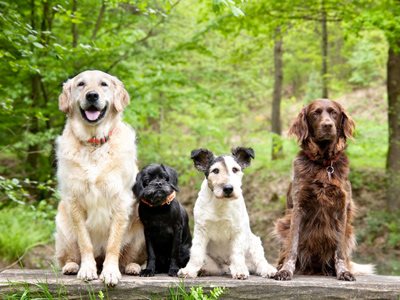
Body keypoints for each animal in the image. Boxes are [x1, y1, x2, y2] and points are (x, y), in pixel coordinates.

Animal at [54, 69, 145, 286]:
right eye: (81, 84)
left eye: (104, 84)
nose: (92, 95)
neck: (94, 142)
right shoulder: (74, 201)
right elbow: (85, 243)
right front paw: (87, 269)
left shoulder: (121, 200)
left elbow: (113, 243)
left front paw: (110, 272)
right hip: (63, 228)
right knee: (70, 256)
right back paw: (71, 266)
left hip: (141, 231)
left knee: (128, 258)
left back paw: (133, 267)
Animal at [274, 98, 374, 282]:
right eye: (315, 113)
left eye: (334, 112)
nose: (328, 125)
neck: (324, 164)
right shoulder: (298, 208)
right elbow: (292, 246)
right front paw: (286, 270)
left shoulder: (342, 209)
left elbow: (339, 251)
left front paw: (343, 271)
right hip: (282, 225)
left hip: (350, 232)